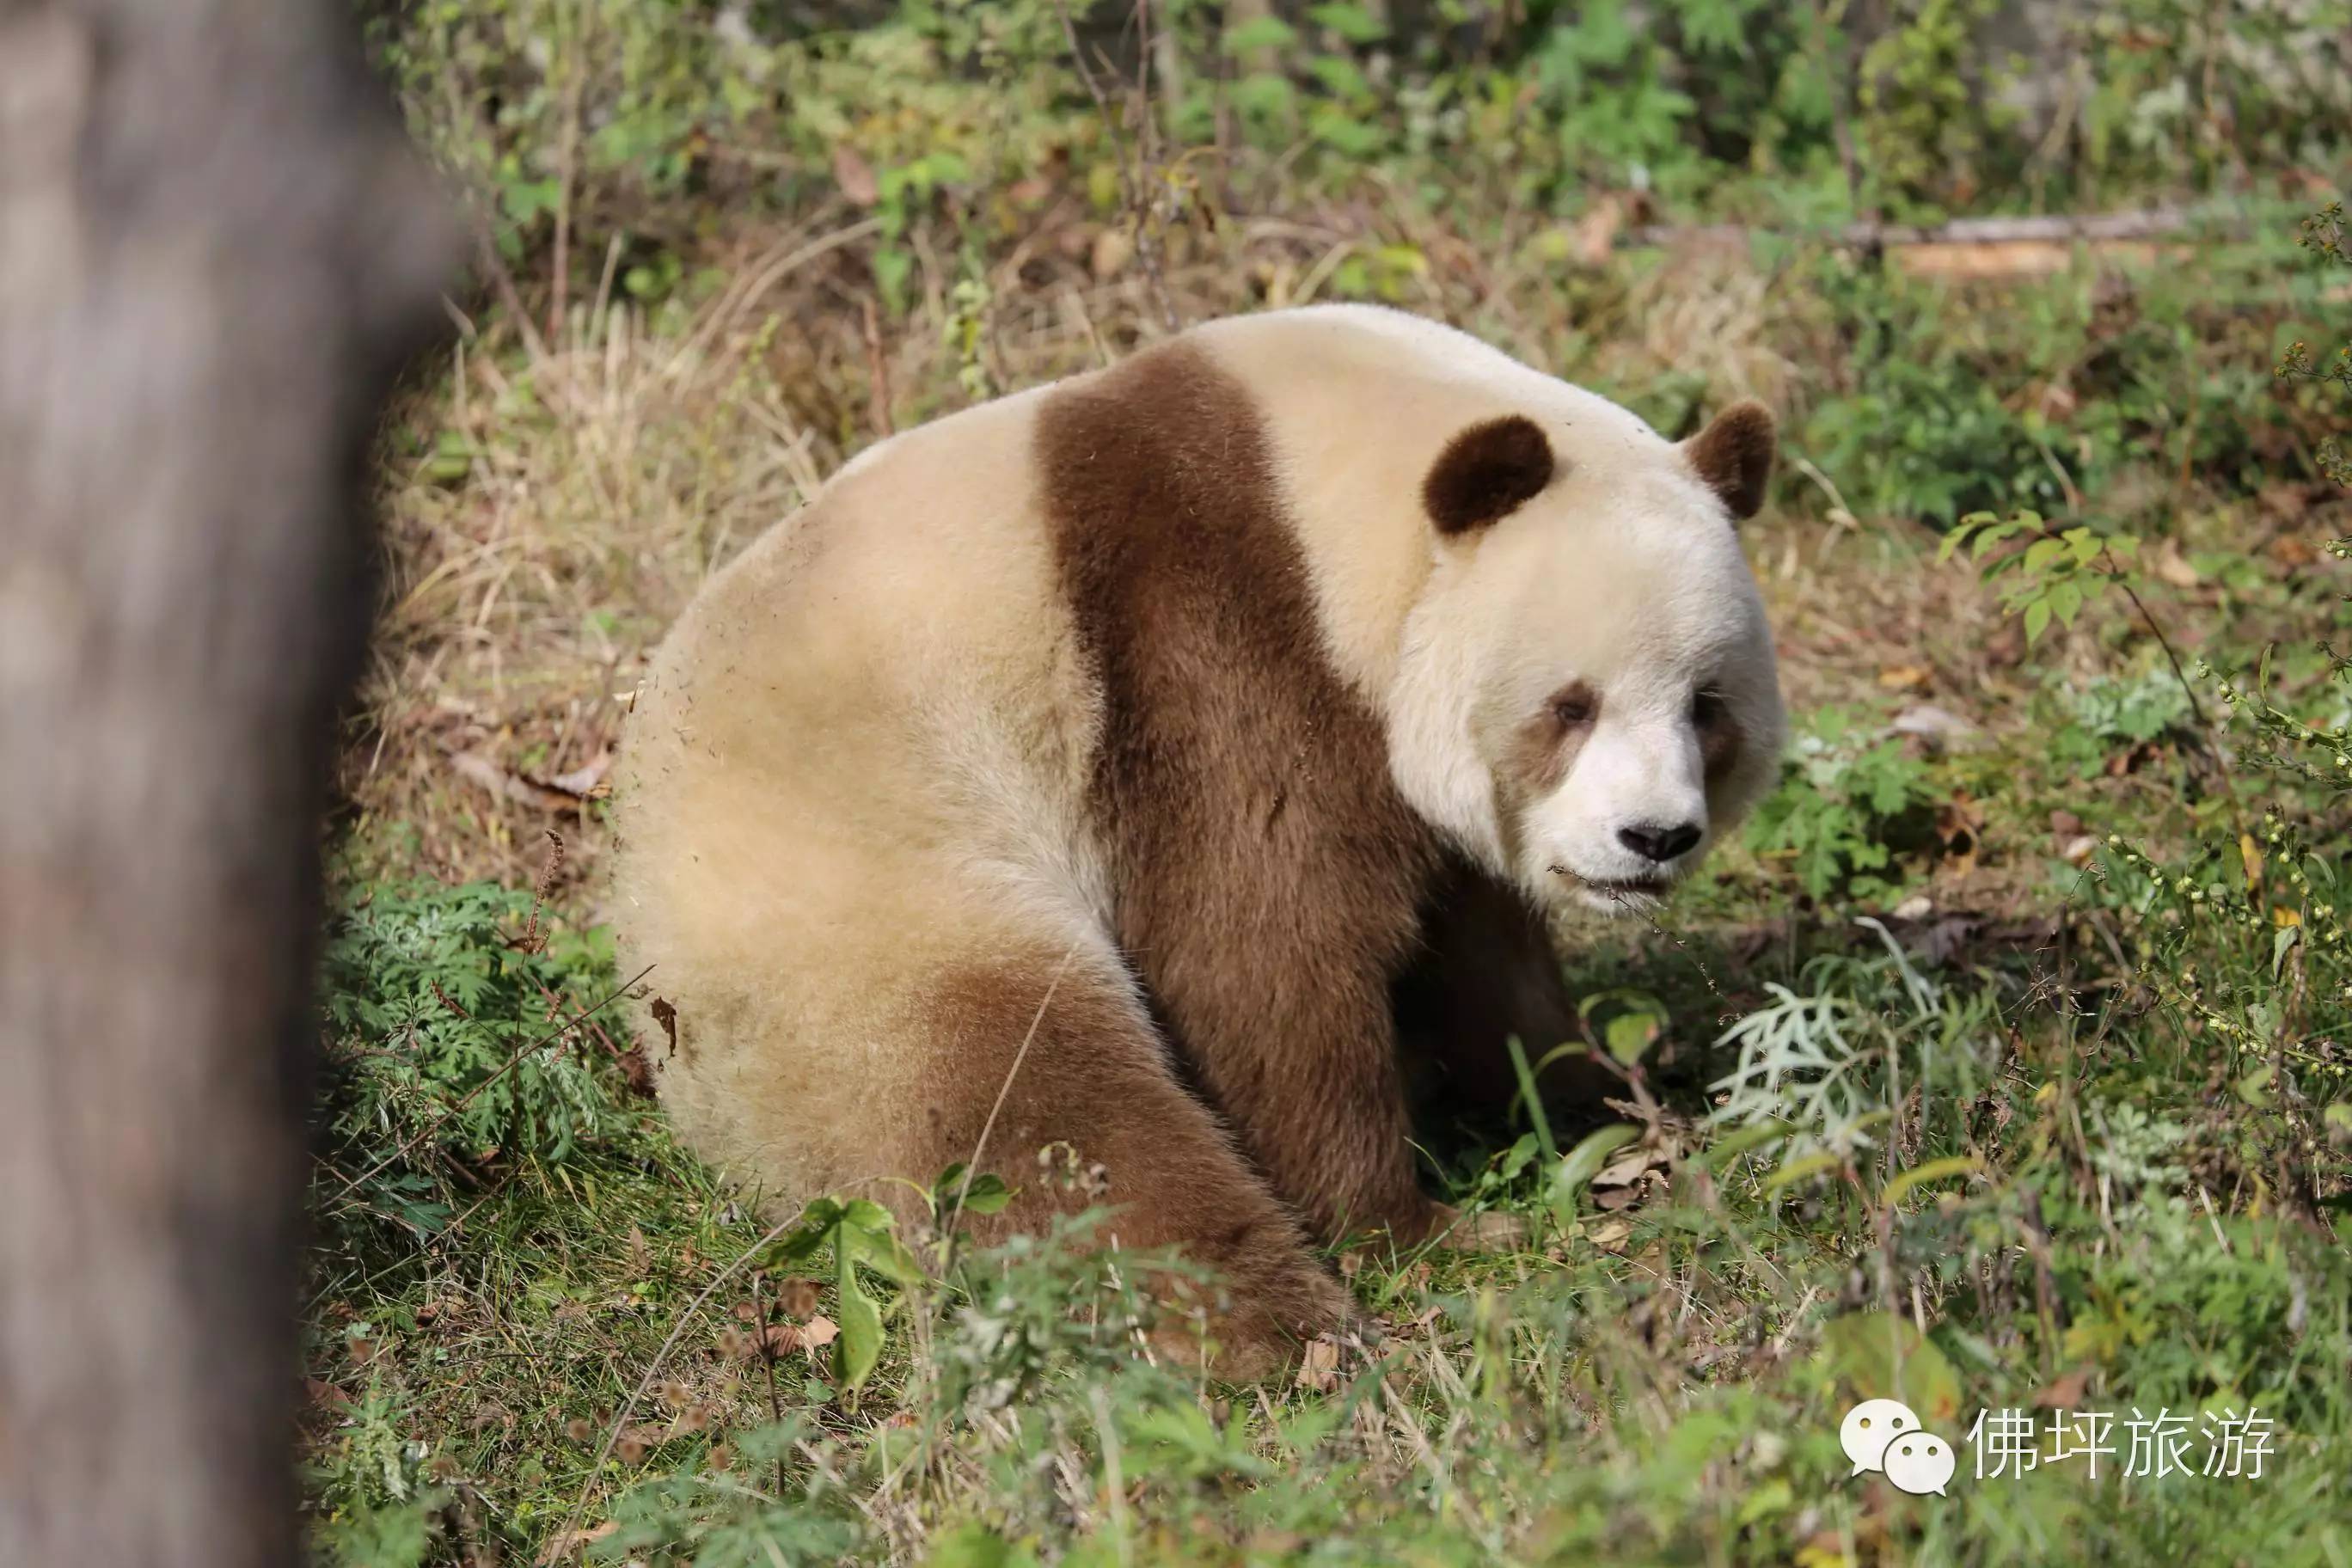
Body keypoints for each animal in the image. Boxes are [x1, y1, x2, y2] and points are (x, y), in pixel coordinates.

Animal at [606, 303, 1778, 1373]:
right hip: (865, 902)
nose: (1653, 839)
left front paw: (1611, 1106)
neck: (1327, 490)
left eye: (1706, 706)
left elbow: (1482, 952)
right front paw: (1409, 1229)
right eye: (1569, 707)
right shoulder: (1211, 636)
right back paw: (1278, 1332)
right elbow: (1260, 953)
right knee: (1041, 1118)